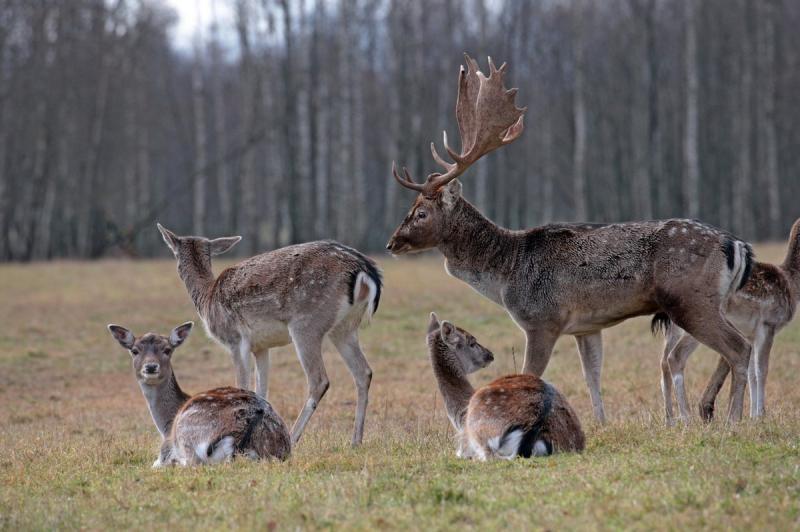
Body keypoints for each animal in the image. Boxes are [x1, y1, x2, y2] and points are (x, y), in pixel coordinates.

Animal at [107, 320, 290, 466]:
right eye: (134, 350)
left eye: (167, 349)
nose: (151, 367)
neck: (165, 425)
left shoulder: (165, 448)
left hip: (188, 432)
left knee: (192, 462)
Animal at [158, 222, 382, 446]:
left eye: (174, 253)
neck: (208, 299)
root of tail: (364, 269)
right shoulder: (261, 347)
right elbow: (260, 391)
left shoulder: (235, 339)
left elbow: (242, 385)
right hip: (345, 327)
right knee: (363, 372)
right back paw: (355, 440)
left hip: (306, 323)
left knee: (319, 380)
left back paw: (293, 437)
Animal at [388, 52, 756, 422]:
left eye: (421, 213)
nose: (392, 243)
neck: (507, 270)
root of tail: (736, 245)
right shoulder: (587, 327)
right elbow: (592, 377)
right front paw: (600, 423)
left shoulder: (542, 320)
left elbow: (530, 373)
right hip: (715, 301)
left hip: (691, 300)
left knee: (739, 347)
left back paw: (732, 419)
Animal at [428, 314, 584, 460]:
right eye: (472, 342)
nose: (490, 354)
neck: (460, 416)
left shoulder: (464, 442)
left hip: (479, 429)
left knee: (490, 456)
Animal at [656, 218, 800, 422]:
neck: (792, 283)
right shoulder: (768, 325)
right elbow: (761, 370)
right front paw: (760, 415)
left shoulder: (751, 333)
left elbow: (751, 372)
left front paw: (752, 416)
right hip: (699, 320)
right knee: (675, 357)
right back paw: (686, 418)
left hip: (676, 327)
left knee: (663, 362)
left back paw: (670, 420)